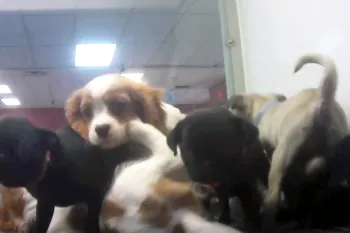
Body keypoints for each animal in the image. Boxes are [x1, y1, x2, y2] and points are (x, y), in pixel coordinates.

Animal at [227, 53, 348, 230]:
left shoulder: (271, 150)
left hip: (282, 157)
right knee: (315, 188)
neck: (265, 105)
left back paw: (269, 220)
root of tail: (323, 102)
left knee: (274, 197)